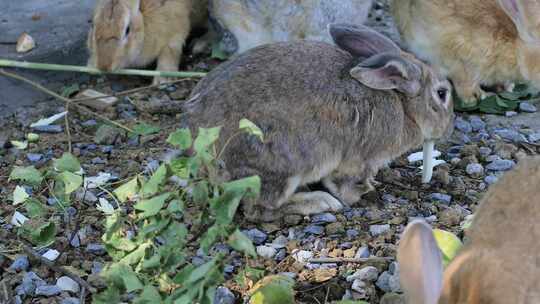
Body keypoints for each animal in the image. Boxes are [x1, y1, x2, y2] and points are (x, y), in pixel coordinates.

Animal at [182, 23, 456, 222]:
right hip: (281, 165)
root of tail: (202, 153)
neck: (402, 104)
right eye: (442, 93)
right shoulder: (358, 160)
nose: (449, 128)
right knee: (260, 209)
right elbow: (346, 183)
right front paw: (362, 193)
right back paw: (319, 202)